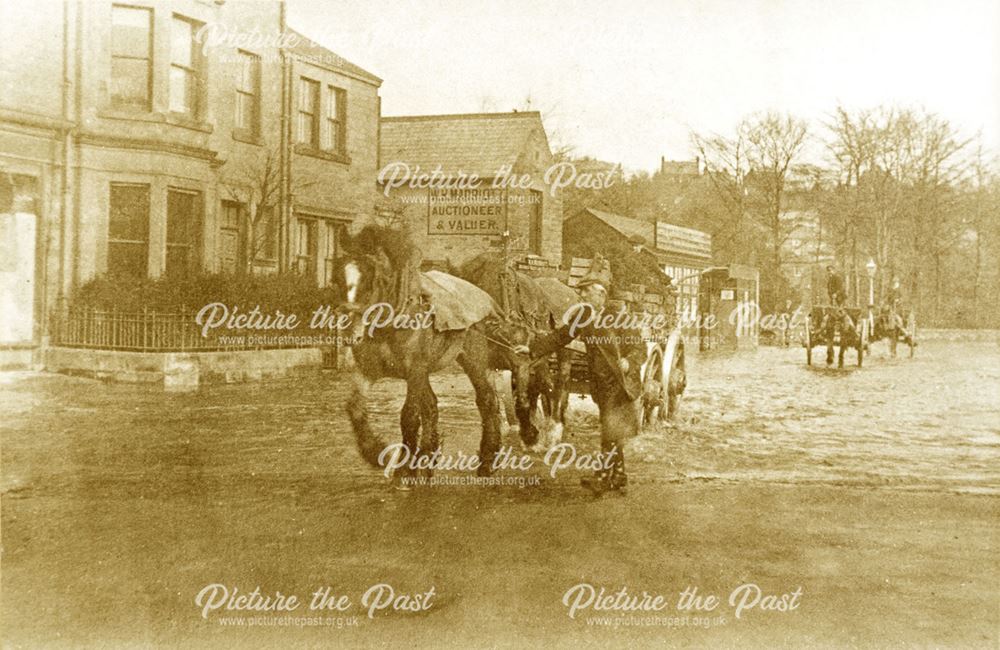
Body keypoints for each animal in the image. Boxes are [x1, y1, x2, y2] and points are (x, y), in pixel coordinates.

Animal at [328, 225, 532, 478]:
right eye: (336, 278)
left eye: (371, 280)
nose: (349, 332)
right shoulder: (371, 369)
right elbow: (355, 409)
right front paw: (373, 451)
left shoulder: (415, 370)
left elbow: (408, 415)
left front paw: (404, 469)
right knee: (433, 405)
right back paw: (427, 457)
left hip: (472, 359)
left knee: (487, 400)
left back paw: (487, 458)